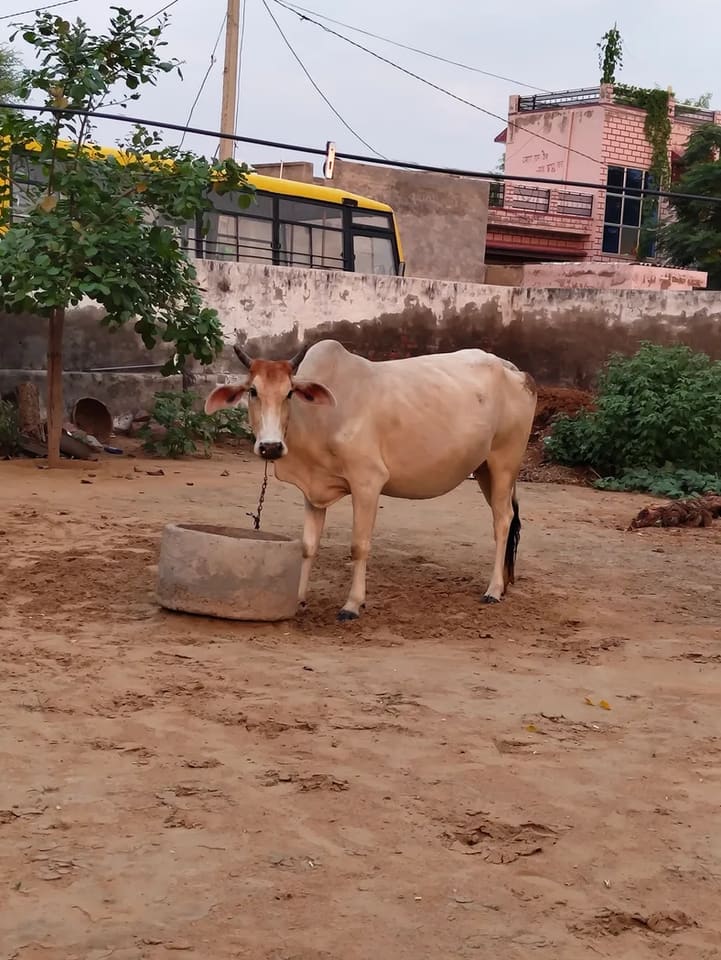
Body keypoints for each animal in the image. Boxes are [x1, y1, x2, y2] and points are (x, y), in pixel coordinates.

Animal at [204, 339, 537, 621]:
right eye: (253, 391)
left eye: (289, 393)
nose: (270, 447)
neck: (320, 418)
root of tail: (513, 369)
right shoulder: (313, 491)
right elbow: (308, 546)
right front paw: (297, 599)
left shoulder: (367, 482)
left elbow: (359, 546)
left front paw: (352, 604)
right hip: (483, 469)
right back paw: (503, 583)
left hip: (504, 463)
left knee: (503, 520)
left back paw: (494, 589)